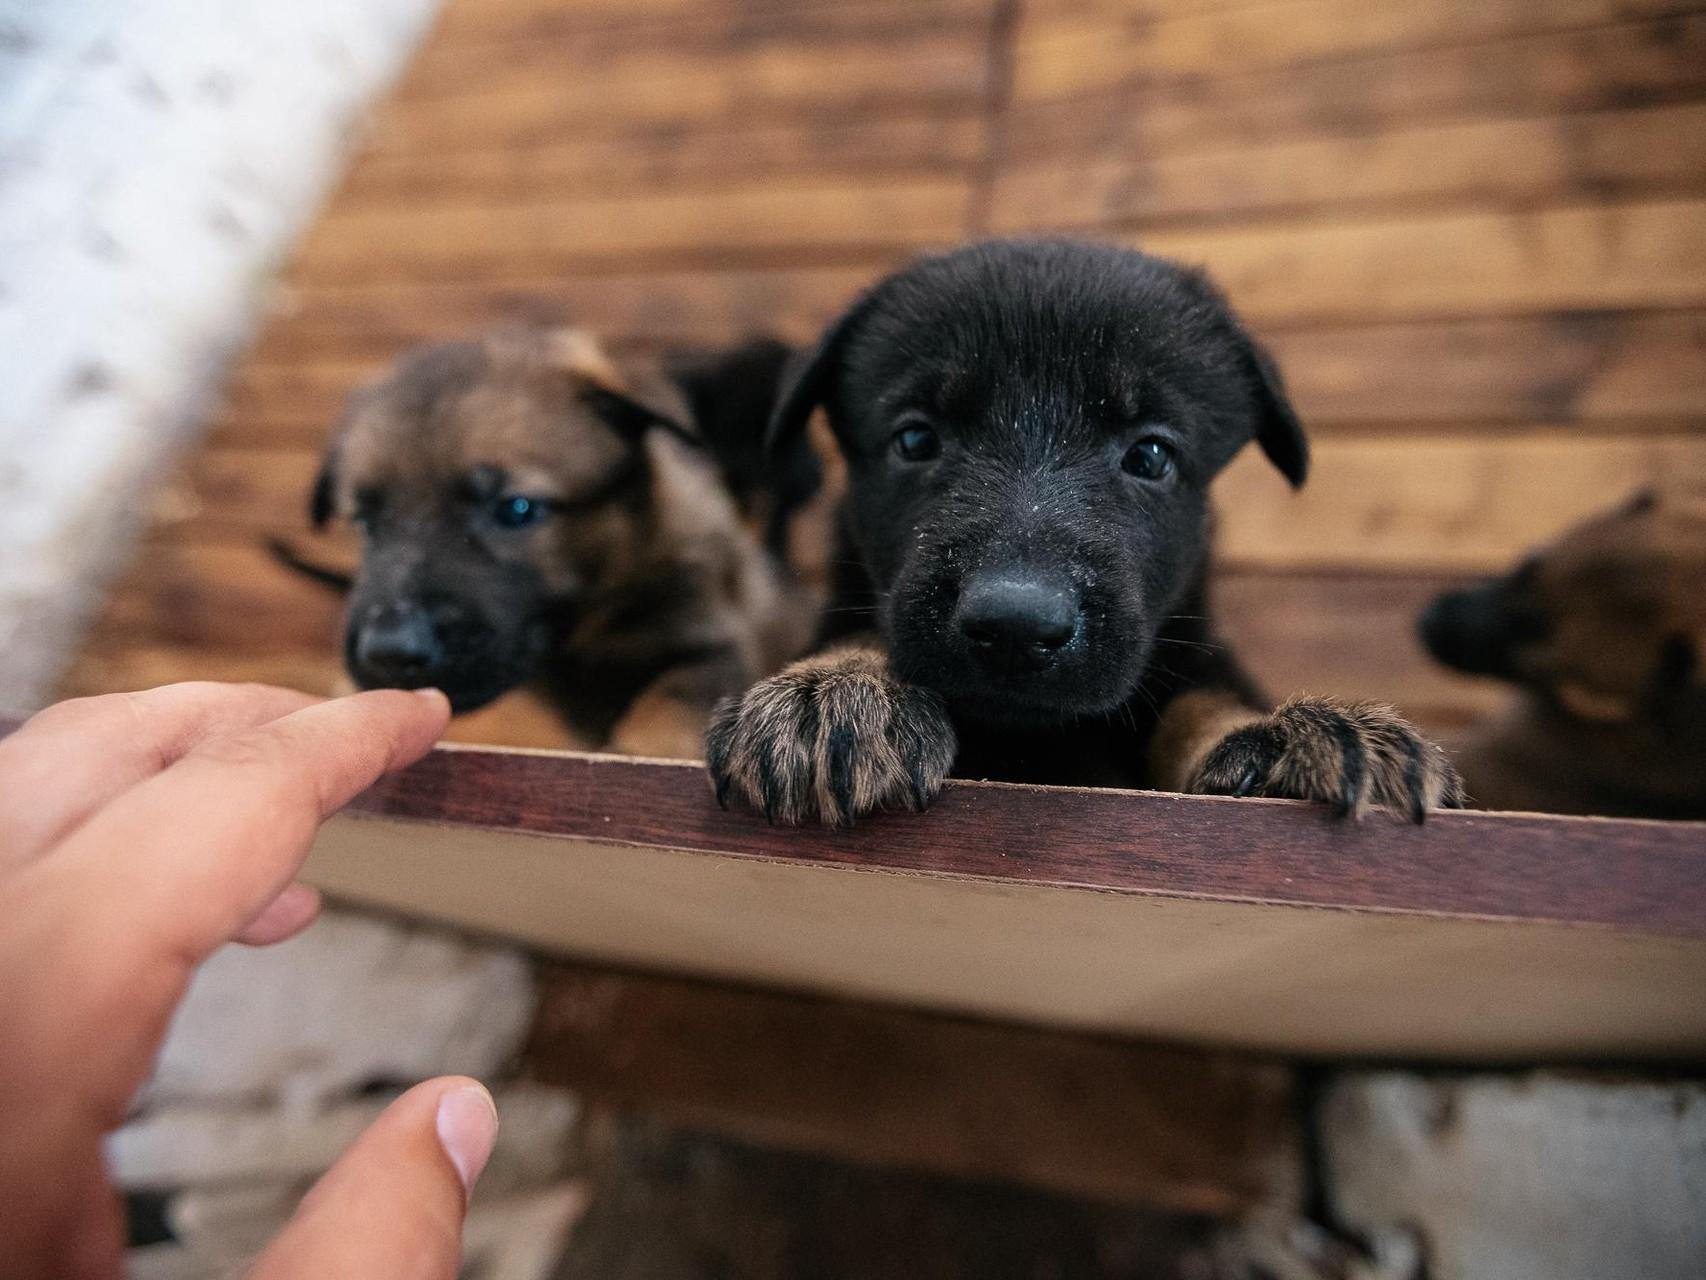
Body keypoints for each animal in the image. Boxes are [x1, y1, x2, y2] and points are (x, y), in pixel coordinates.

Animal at [699, 238, 1460, 826]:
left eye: (1150, 456)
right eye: (915, 440)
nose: (1015, 625)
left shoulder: (1192, 649)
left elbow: (1202, 697)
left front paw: (1275, 734)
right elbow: (856, 633)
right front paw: (834, 691)